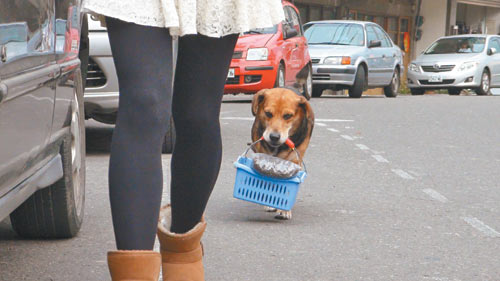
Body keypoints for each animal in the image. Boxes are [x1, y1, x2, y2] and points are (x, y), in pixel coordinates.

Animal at [252, 87, 314, 219]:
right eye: (268, 113)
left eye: (288, 116)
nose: (274, 137)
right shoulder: (265, 160)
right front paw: (269, 202)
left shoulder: (293, 161)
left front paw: (284, 210)